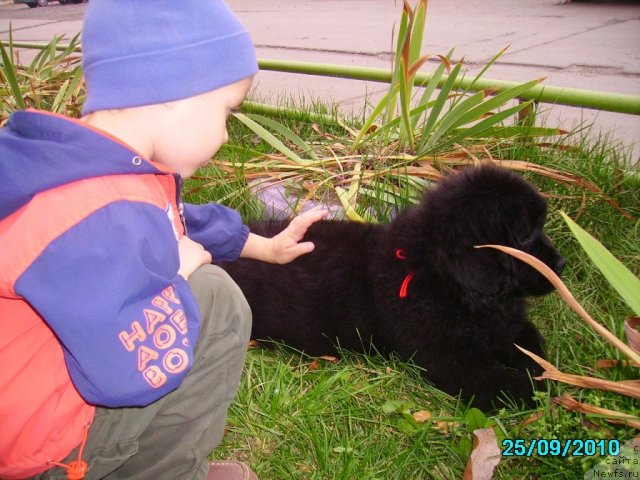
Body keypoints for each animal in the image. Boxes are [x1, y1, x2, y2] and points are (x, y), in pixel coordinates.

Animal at [220, 165, 564, 408]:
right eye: (525, 238)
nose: (560, 264)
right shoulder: (449, 361)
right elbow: (505, 385)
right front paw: (540, 386)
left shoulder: (505, 325)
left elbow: (530, 339)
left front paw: (541, 366)